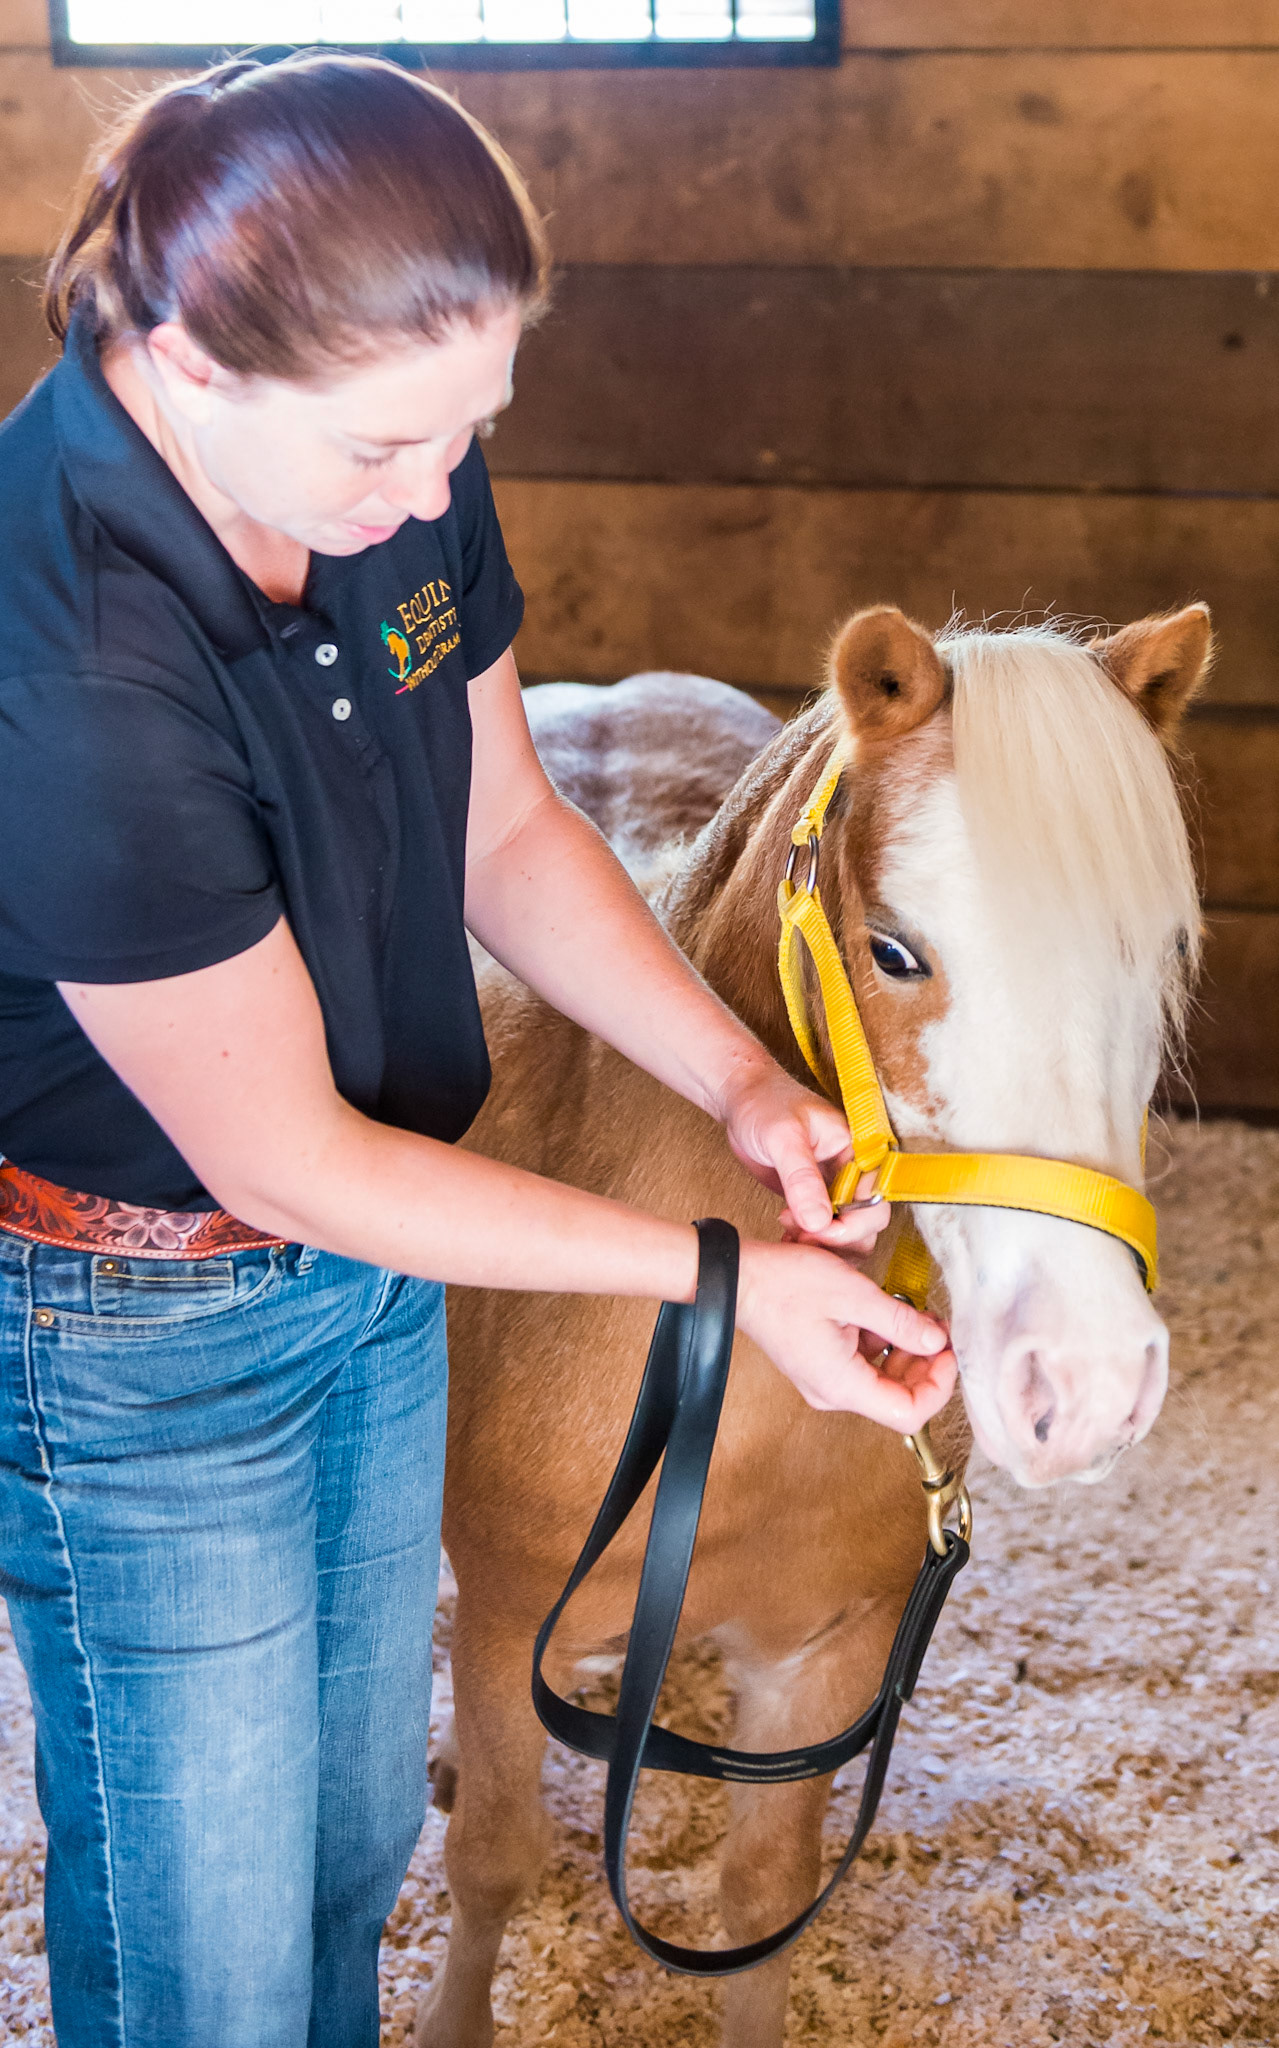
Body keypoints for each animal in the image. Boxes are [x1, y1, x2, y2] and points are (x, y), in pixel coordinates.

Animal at [416, 603, 1210, 2048]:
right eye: (894, 949)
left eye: (1165, 951)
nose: (1082, 1377)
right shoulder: (507, 1629)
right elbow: (492, 1860)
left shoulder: (824, 1659)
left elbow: (760, 1902)